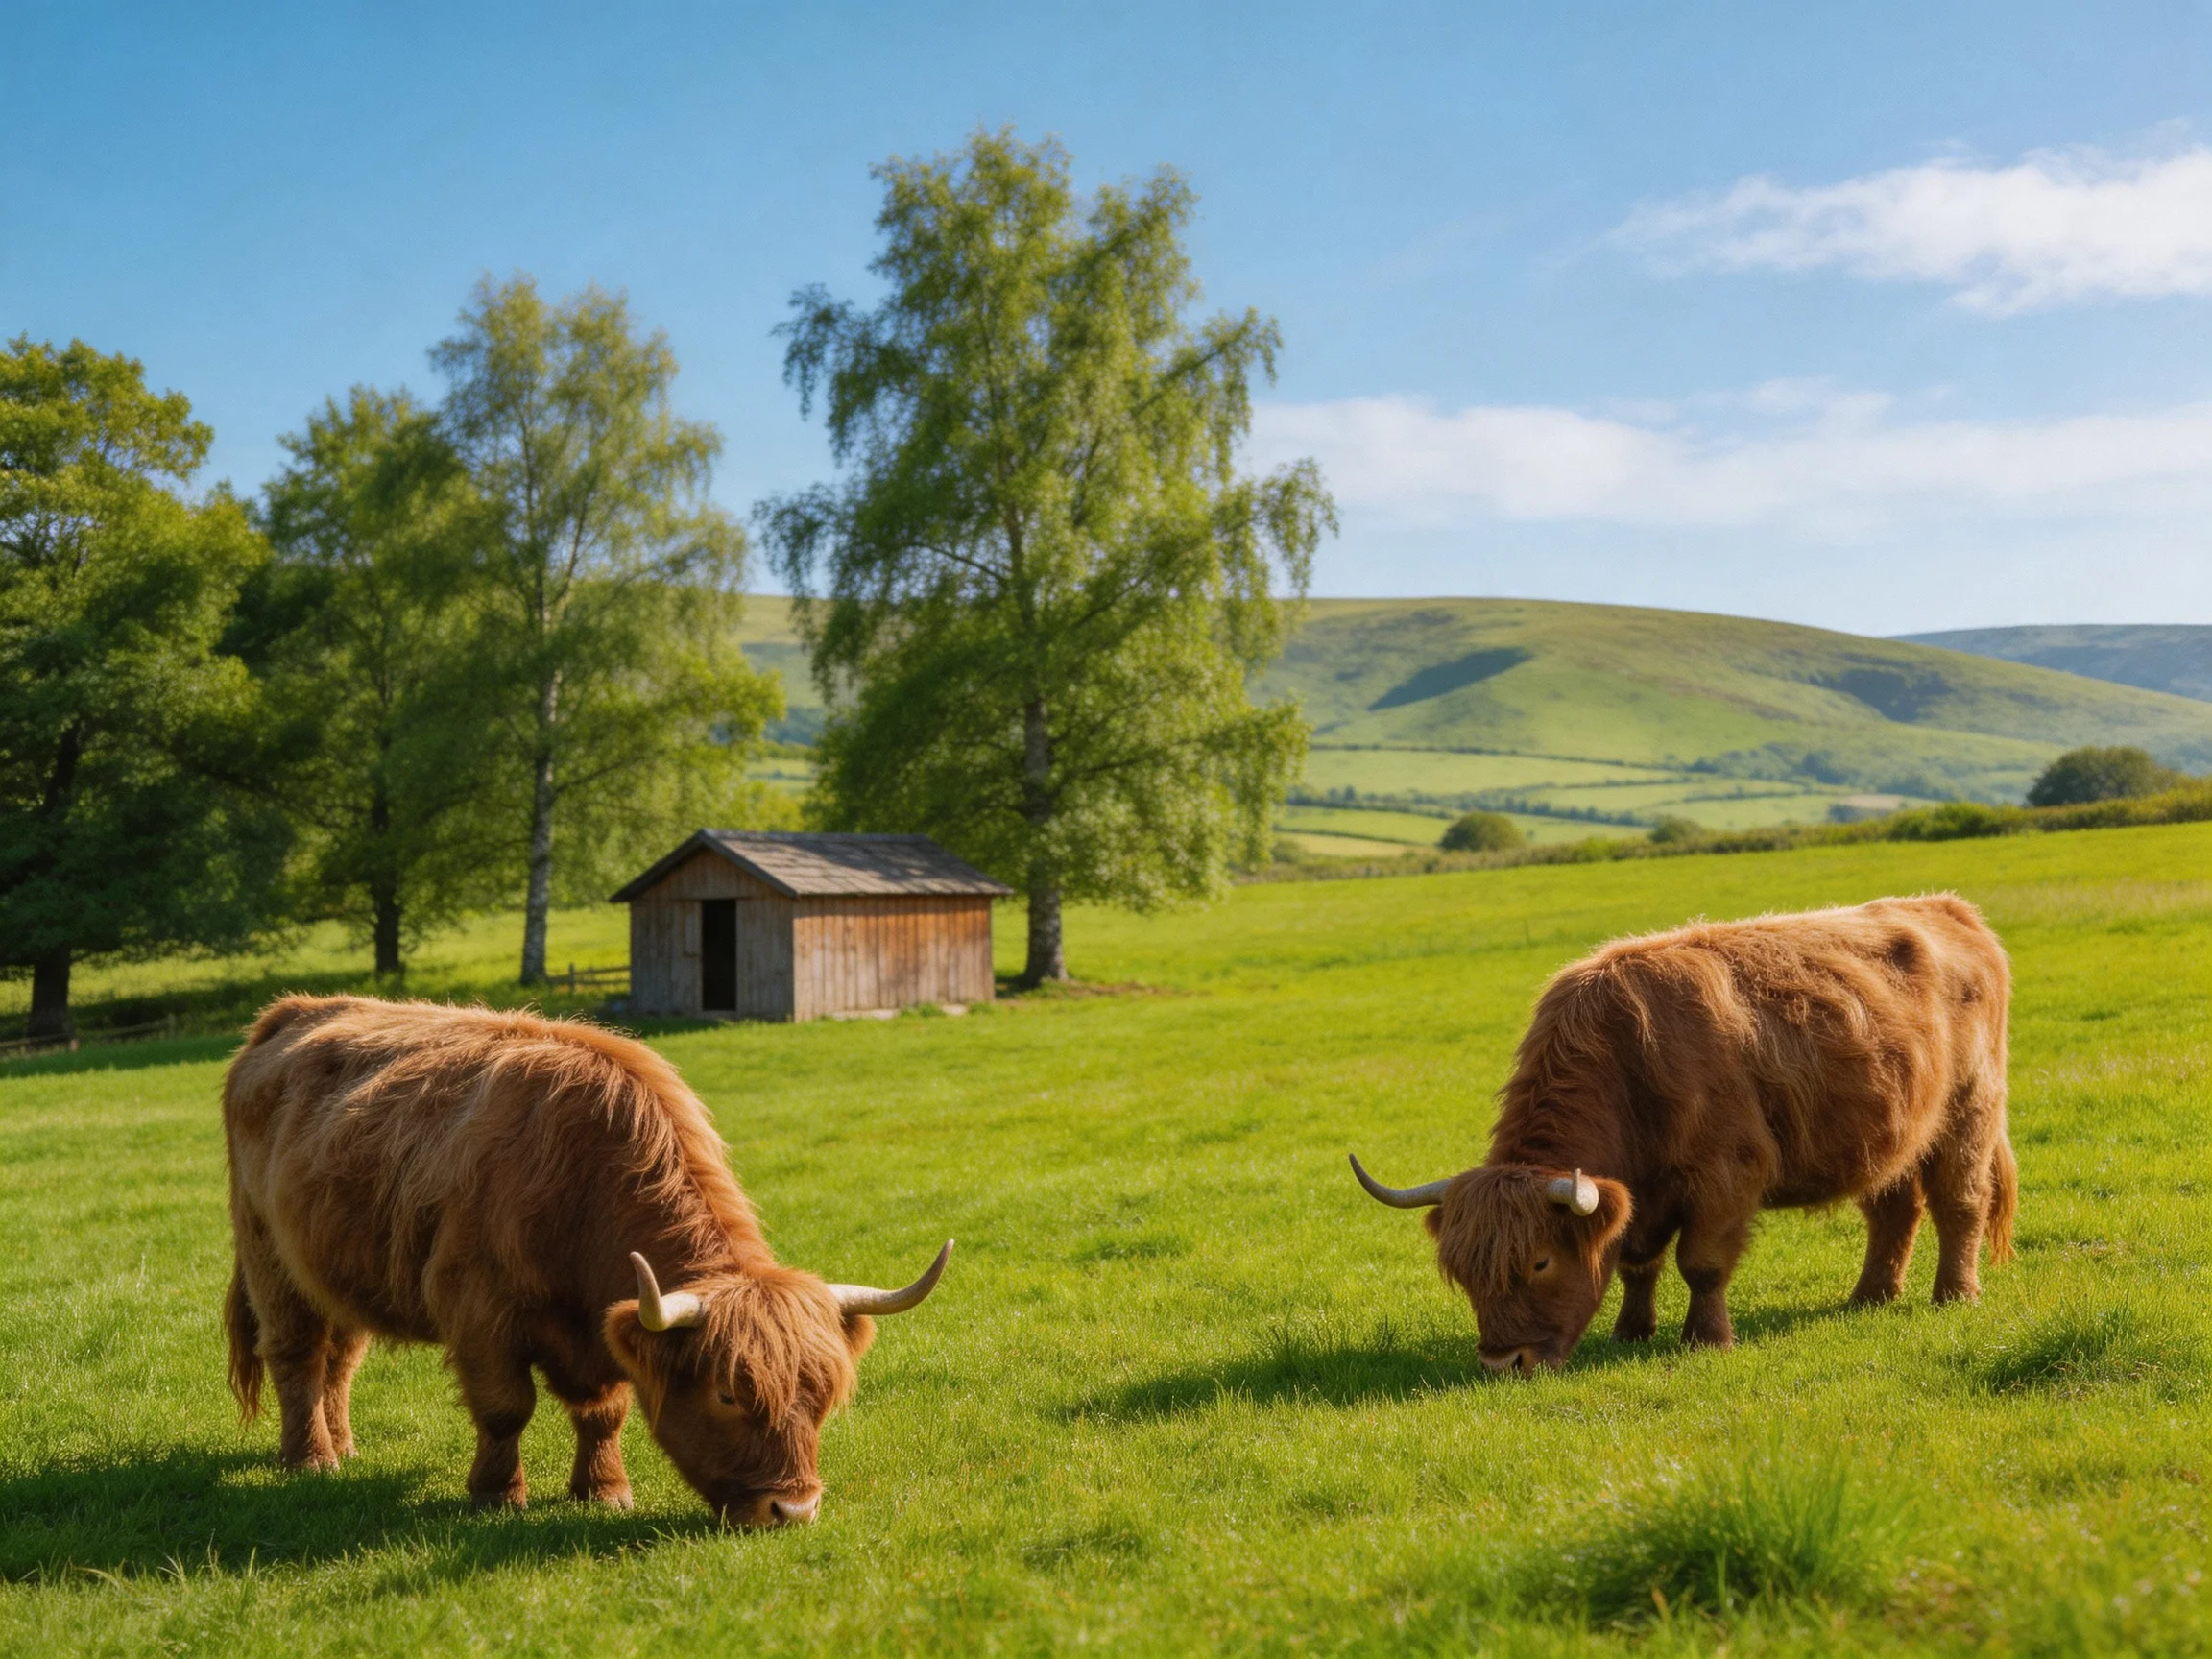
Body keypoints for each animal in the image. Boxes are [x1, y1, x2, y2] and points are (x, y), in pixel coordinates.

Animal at [221, 995, 951, 1525]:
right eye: (728, 1394)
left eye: (823, 1395)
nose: (793, 1509)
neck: (580, 1183)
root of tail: (289, 1013)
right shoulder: (480, 1311)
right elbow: (505, 1407)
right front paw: (496, 1496)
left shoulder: (604, 1325)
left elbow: (604, 1412)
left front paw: (602, 1491)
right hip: (267, 1255)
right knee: (295, 1354)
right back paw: (310, 1459)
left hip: (332, 1267)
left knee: (340, 1358)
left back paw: (343, 1446)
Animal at [1350, 894, 2016, 1373]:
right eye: (1463, 1272)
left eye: (1540, 1262)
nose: (1501, 1362)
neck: (1627, 1061)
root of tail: (1947, 907)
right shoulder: (1640, 1192)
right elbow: (1636, 1262)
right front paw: (1631, 1332)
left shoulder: (1726, 1173)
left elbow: (1702, 1263)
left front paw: (1707, 1339)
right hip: (1892, 1133)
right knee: (1894, 1210)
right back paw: (1870, 1297)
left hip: (1970, 1109)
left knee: (1961, 1202)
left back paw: (1955, 1294)